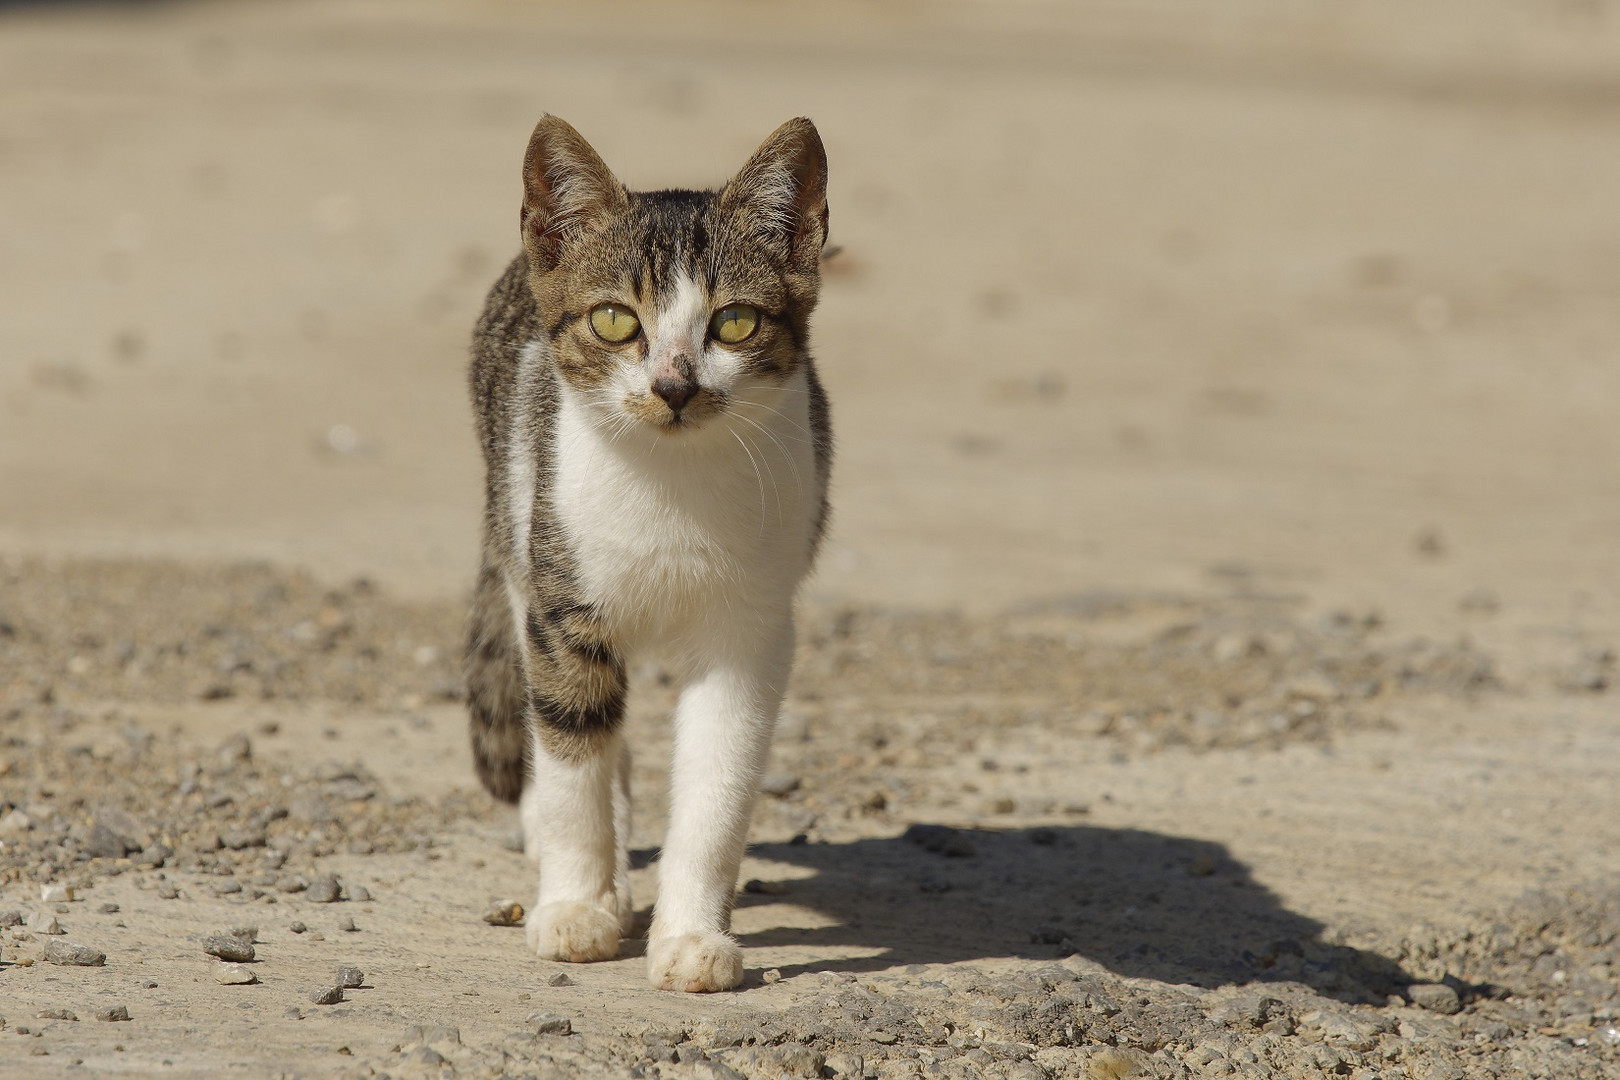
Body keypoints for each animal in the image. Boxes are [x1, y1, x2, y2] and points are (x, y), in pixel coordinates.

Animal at [463, 114, 829, 990]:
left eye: (734, 323)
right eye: (614, 321)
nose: (674, 386)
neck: (673, 487)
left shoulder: (750, 632)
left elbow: (717, 785)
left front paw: (692, 937)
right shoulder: (562, 601)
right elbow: (572, 763)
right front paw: (576, 906)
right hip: (519, 525)